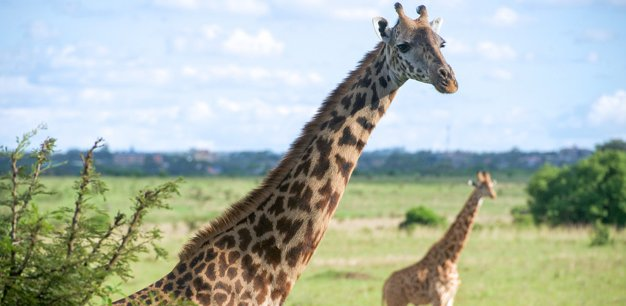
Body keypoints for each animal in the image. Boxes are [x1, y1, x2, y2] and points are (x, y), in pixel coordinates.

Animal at [378, 171, 494, 306]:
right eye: (481, 186)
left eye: (492, 185)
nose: (493, 195)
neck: (452, 258)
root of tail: (384, 286)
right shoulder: (439, 297)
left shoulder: (450, 297)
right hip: (396, 301)